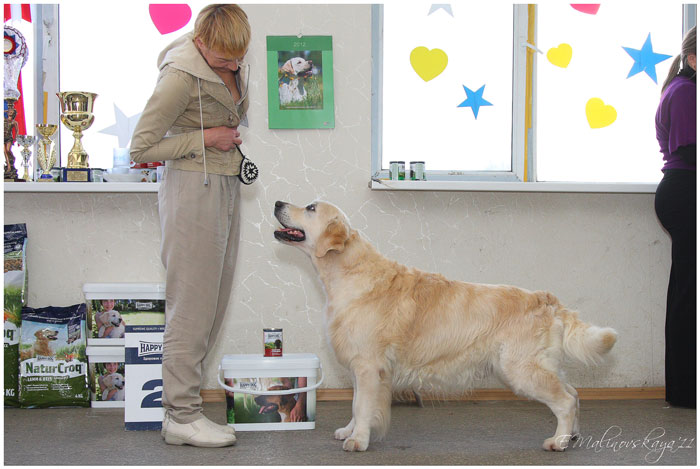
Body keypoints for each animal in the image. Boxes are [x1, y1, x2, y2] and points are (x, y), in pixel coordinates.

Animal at [273, 201, 618, 452]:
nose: (277, 202)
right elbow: (357, 404)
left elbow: (363, 406)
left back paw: (558, 442)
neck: (349, 273)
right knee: (574, 393)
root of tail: (545, 299)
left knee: (565, 401)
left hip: (520, 370)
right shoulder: (362, 367)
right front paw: (349, 431)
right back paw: (572, 437)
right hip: (541, 366)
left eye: (311, 208)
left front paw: (358, 440)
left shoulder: (369, 366)